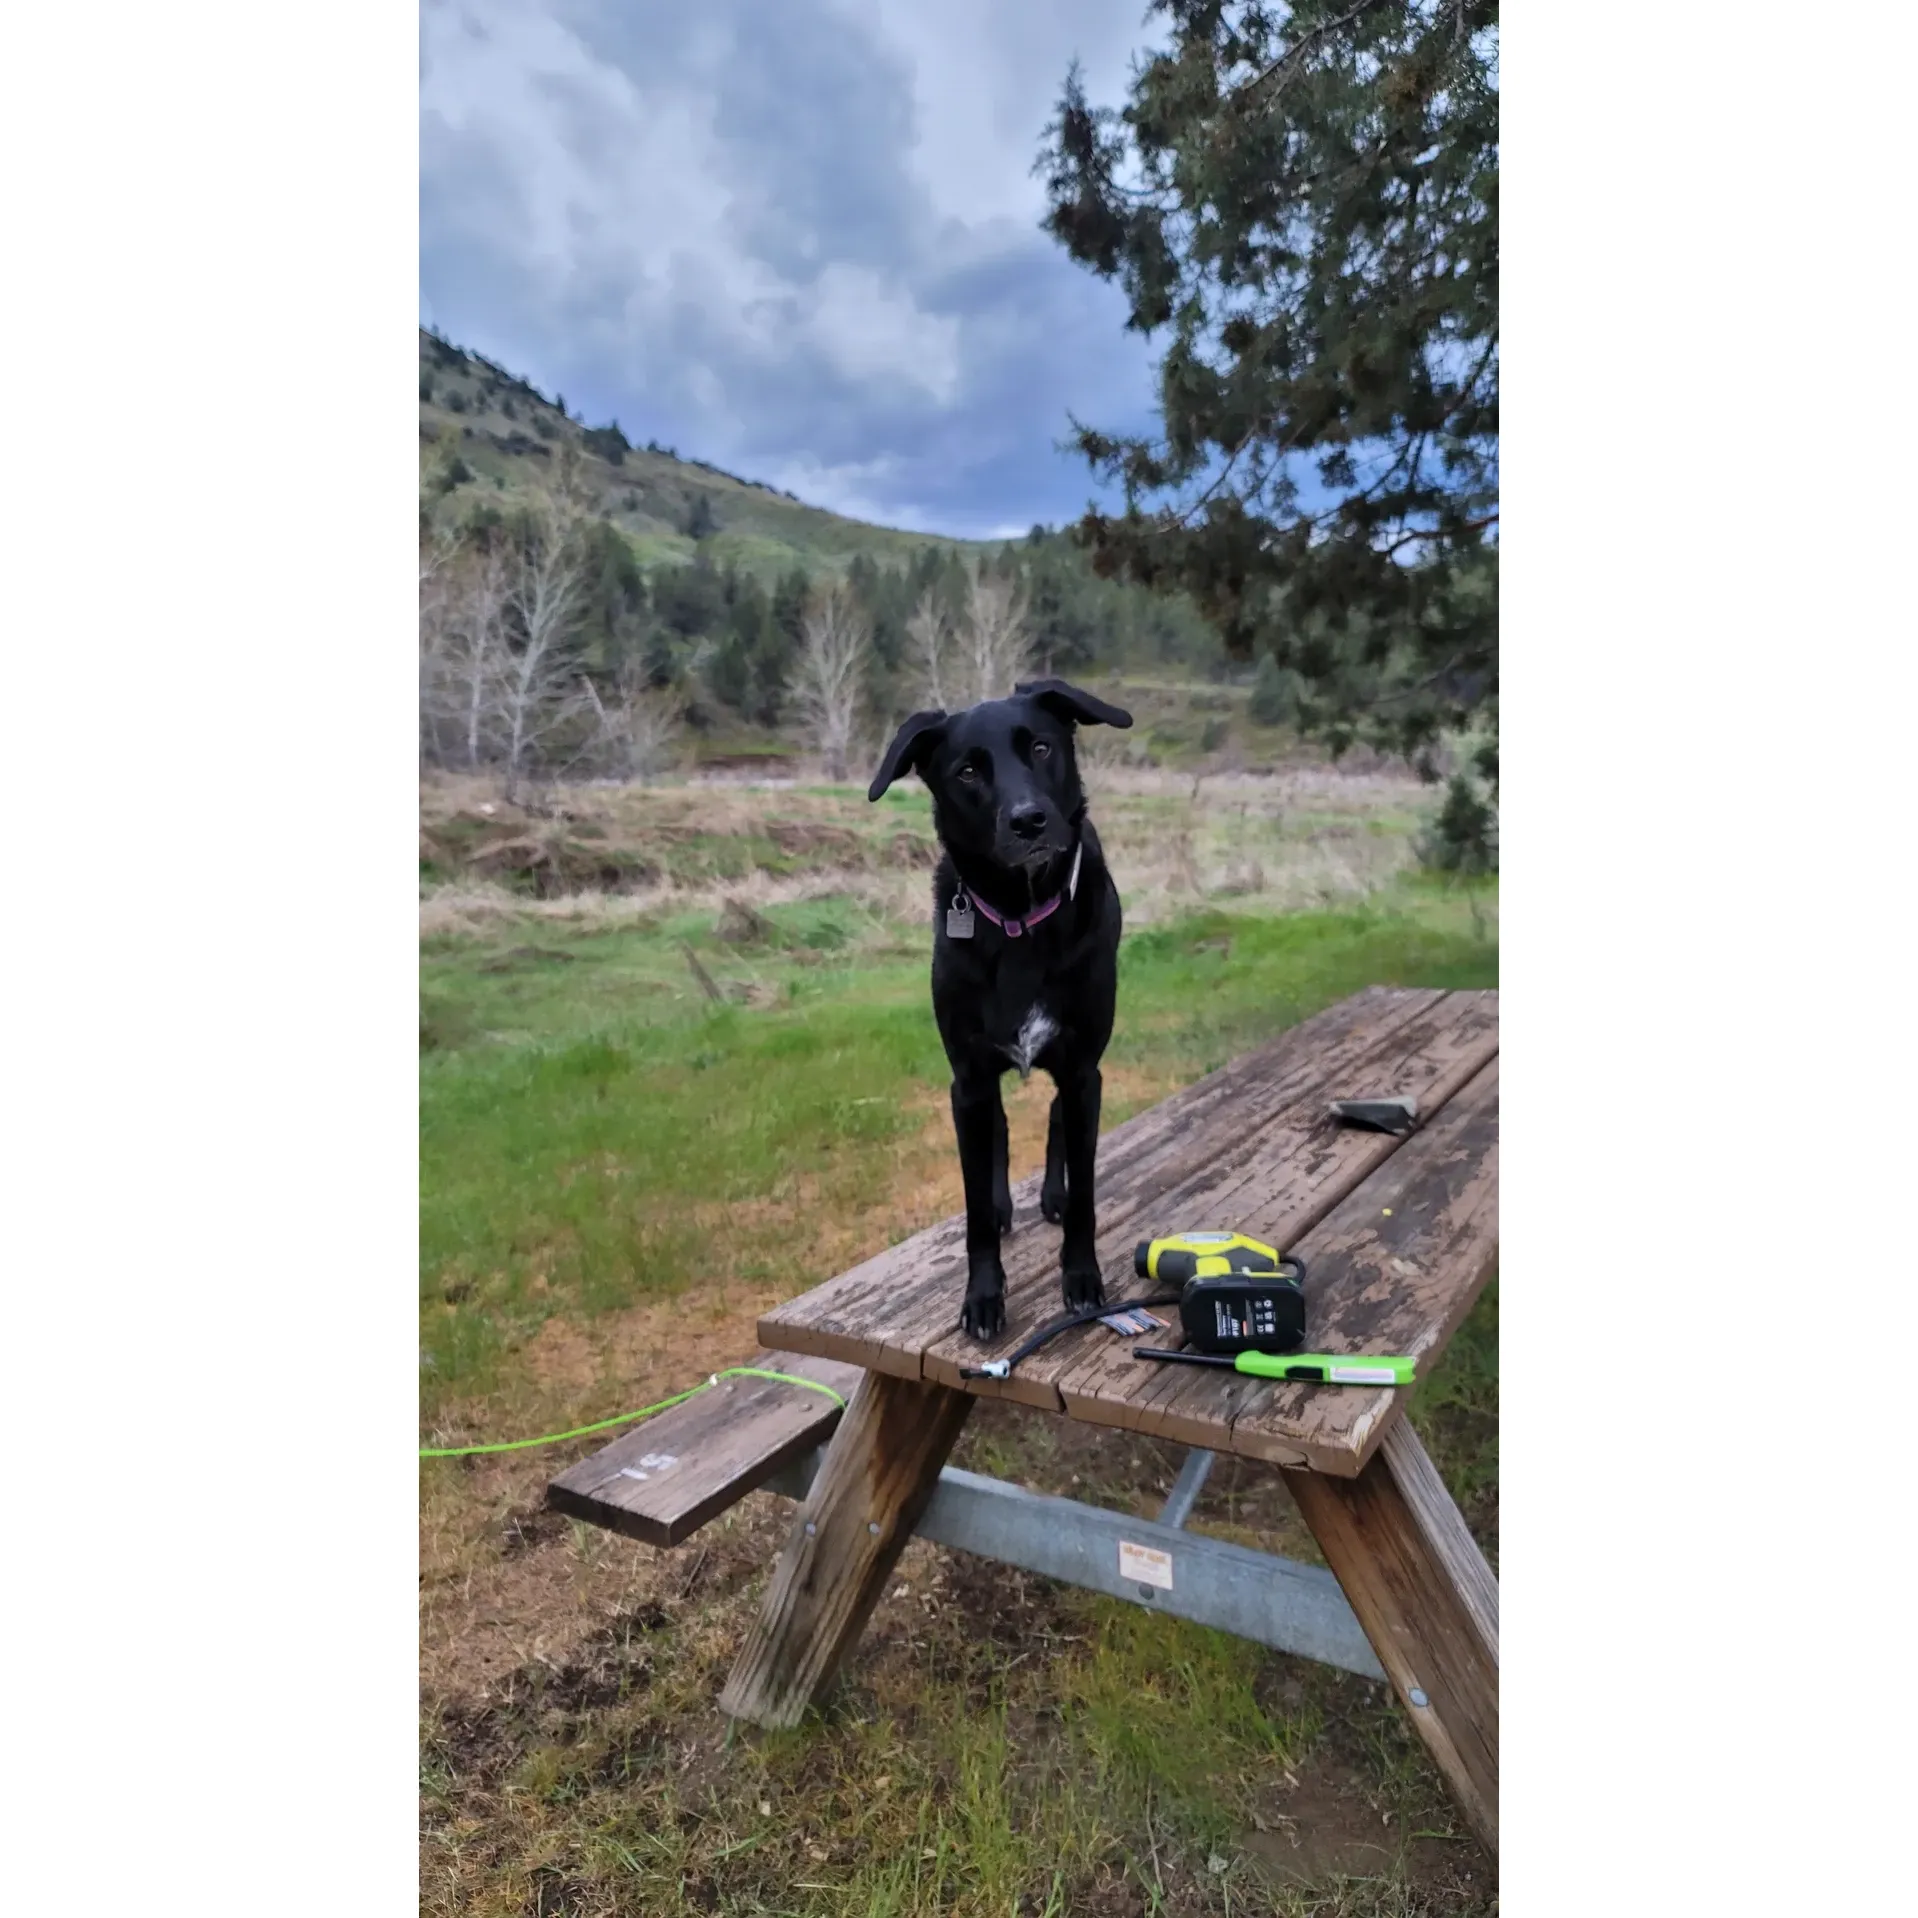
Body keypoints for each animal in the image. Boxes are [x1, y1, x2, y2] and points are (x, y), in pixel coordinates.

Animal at [874, 682, 1135, 1342]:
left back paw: (1053, 1195)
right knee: (999, 1130)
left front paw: (1082, 1279)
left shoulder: (1082, 1070)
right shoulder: (966, 1079)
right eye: (968, 771)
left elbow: (1086, 1193)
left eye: (1040, 747)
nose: (1029, 820)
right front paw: (984, 1297)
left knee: (1055, 1118)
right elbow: (973, 1209)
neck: (1020, 917)